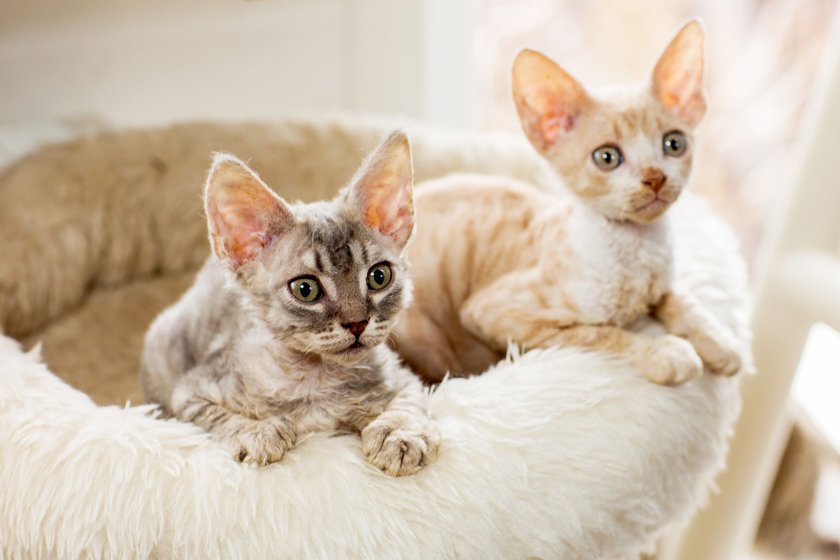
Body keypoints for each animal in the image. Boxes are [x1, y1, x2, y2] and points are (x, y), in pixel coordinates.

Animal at [139, 132, 440, 476]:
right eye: (305, 289)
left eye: (379, 276)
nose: (357, 323)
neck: (316, 381)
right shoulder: (189, 393)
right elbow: (217, 419)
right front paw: (257, 432)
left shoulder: (404, 378)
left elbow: (408, 403)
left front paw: (400, 435)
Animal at [394, 18, 740, 384]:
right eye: (607, 157)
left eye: (674, 144)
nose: (655, 177)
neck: (637, 253)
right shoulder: (493, 311)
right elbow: (596, 333)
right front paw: (662, 351)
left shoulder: (660, 283)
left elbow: (676, 298)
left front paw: (719, 340)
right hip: (427, 338)